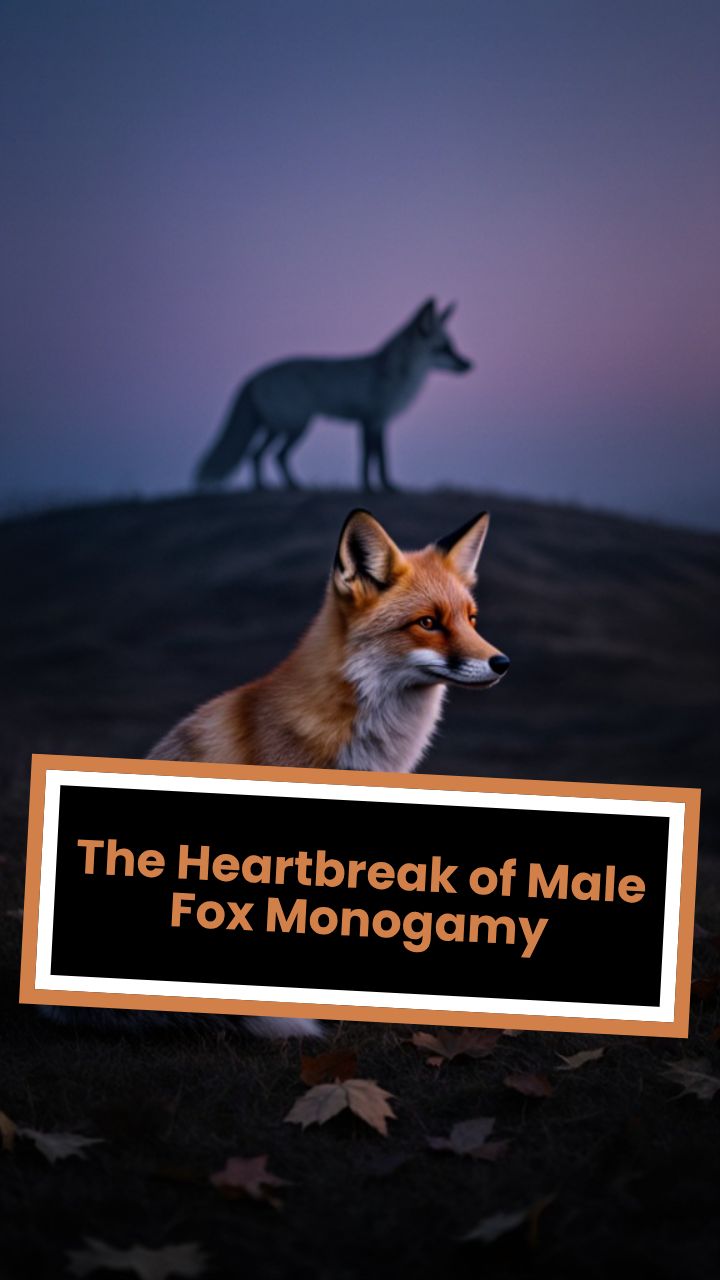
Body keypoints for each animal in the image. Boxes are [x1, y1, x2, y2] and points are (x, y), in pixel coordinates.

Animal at [194, 298, 472, 492]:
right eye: (443, 348)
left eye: (452, 346)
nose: (469, 364)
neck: (398, 376)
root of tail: (251, 377)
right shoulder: (371, 420)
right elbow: (372, 461)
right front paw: (374, 490)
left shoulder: (376, 422)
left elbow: (376, 460)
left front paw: (381, 488)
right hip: (296, 427)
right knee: (273, 456)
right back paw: (290, 487)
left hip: (278, 427)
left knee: (256, 455)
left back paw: (268, 489)